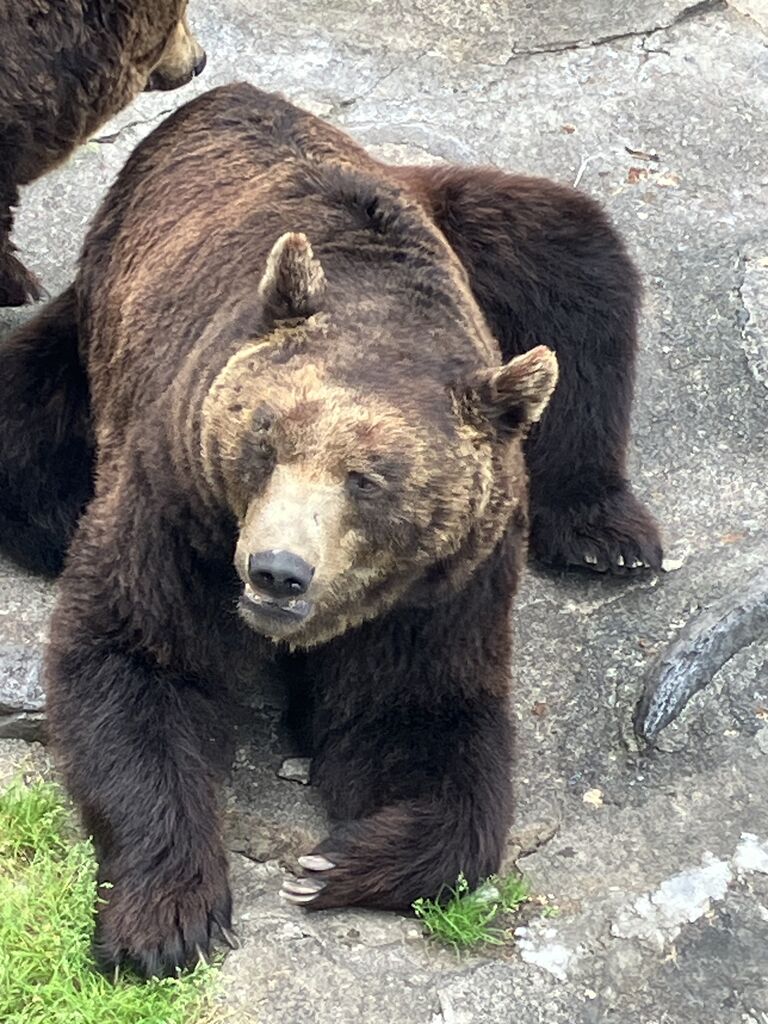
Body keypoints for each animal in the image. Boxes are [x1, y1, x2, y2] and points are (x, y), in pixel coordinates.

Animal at [0, 83, 662, 977]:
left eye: (368, 480)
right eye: (265, 437)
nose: (276, 571)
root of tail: (227, 94)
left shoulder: (440, 584)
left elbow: (413, 715)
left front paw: (337, 864)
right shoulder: (180, 501)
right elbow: (139, 659)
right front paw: (166, 918)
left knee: (574, 262)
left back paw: (607, 533)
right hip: (90, 332)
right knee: (26, 432)